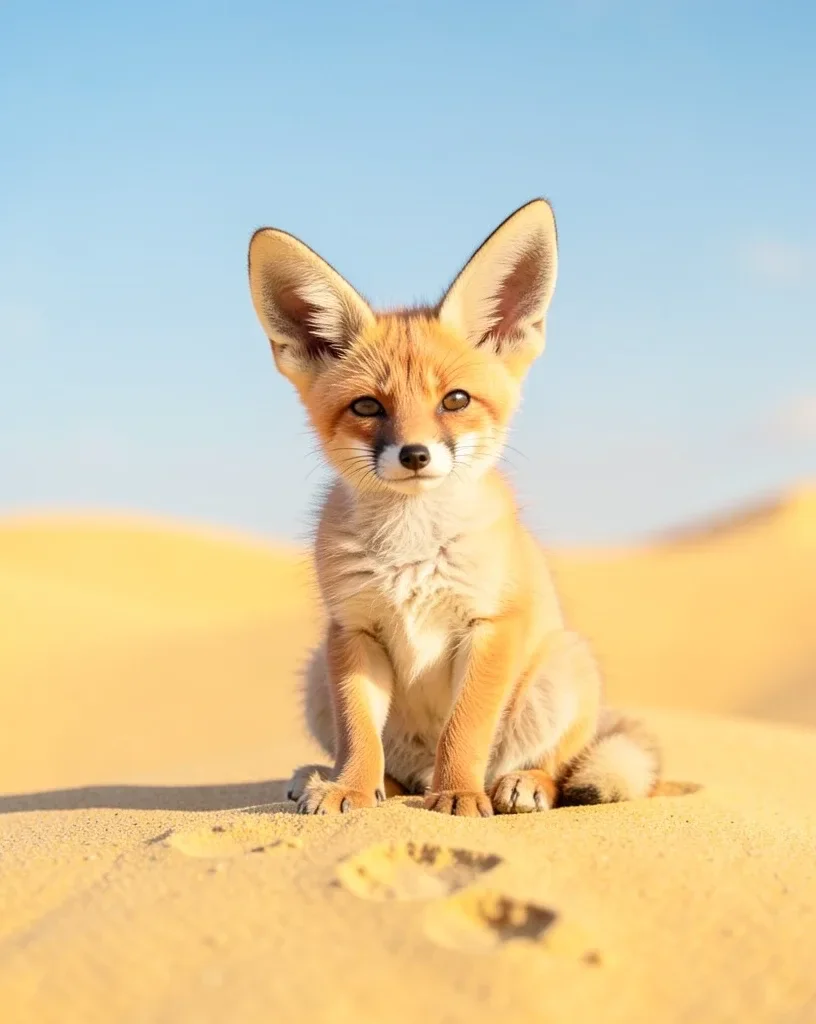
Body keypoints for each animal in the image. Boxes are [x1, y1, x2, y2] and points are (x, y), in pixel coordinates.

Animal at [247, 198, 660, 817]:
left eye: (455, 400)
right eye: (367, 406)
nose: (415, 455)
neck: (412, 552)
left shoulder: (488, 625)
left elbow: (464, 728)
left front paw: (460, 795)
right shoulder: (354, 630)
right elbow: (359, 734)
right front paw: (350, 790)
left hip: (564, 668)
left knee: (558, 766)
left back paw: (519, 784)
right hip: (316, 672)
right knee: (392, 771)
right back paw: (351, 782)